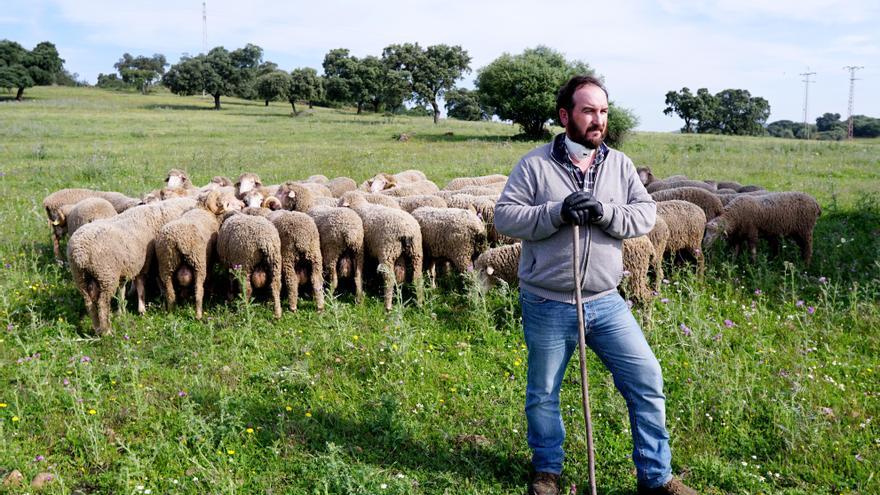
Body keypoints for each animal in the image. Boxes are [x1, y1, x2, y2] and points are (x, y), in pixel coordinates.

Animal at [67, 197, 198, 334]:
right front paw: (143, 308)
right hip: (106, 275)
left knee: (89, 303)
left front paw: (125, 311)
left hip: (80, 277)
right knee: (102, 303)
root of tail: (81, 252)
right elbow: (143, 284)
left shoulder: (134, 265)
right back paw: (106, 331)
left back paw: (97, 328)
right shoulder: (146, 262)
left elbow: (127, 288)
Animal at [156, 188, 244, 320]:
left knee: (170, 293)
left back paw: (171, 314)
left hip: (166, 265)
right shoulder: (210, 258)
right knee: (198, 292)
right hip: (199, 263)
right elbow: (210, 274)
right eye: (228, 201)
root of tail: (178, 239)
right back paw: (198, 315)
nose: (243, 205)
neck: (205, 209)